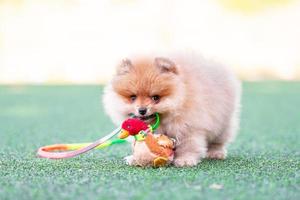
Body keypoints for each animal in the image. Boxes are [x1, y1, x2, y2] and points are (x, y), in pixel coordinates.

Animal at [103, 53, 241, 167]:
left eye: (155, 98)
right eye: (133, 97)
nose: (142, 110)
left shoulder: (189, 127)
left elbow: (188, 146)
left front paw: (185, 160)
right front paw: (134, 158)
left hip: (223, 123)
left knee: (218, 140)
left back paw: (215, 153)